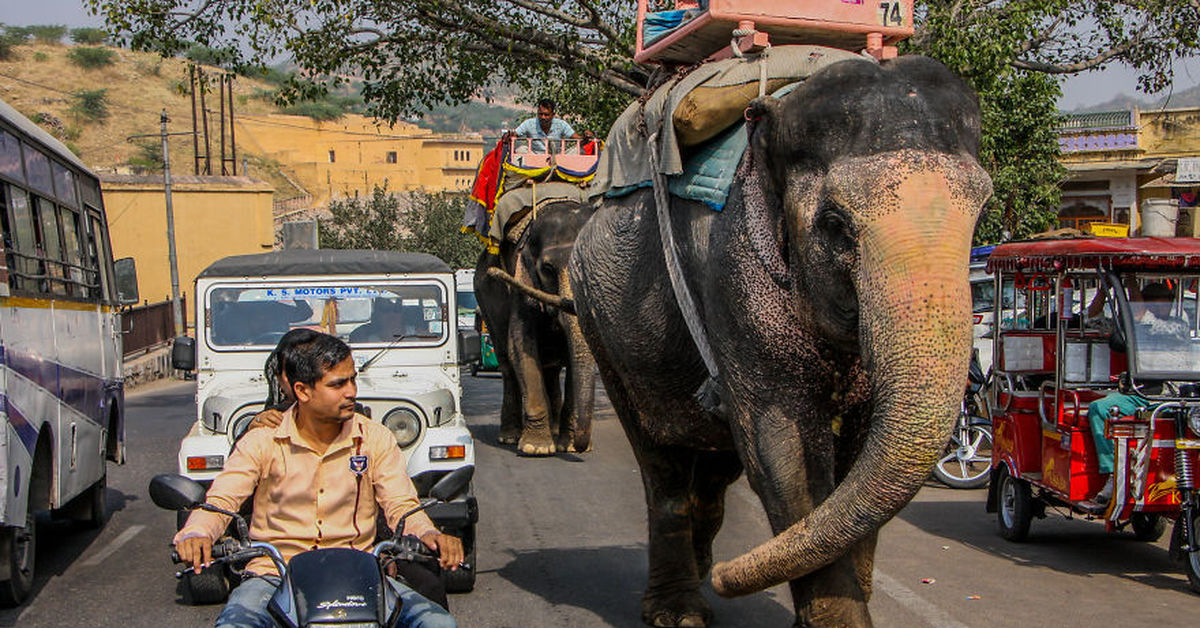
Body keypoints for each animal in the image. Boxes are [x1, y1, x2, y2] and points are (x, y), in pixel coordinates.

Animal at [470, 199, 597, 453]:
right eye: (548, 269)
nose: (581, 447)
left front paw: (567, 447)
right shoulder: (521, 283)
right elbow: (521, 346)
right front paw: (536, 448)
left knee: (551, 369)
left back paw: (555, 431)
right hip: (486, 299)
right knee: (507, 365)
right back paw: (510, 437)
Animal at [568, 56, 993, 624]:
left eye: (982, 213)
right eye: (835, 223)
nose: (730, 579)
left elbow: (857, 455)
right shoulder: (734, 275)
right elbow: (783, 453)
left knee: (715, 459)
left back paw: (702, 567)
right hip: (600, 323)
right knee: (663, 462)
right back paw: (680, 609)